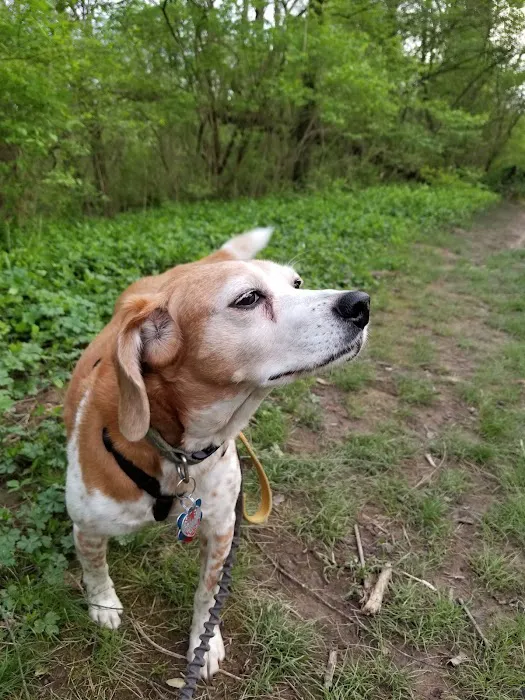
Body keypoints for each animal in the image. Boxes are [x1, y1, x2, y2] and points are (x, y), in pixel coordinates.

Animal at [63, 226, 369, 679]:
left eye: (297, 283)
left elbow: (207, 597)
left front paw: (203, 646)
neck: (178, 456)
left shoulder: (223, 529)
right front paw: (103, 605)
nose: (361, 303)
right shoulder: (86, 526)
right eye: (248, 299)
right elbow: (94, 567)